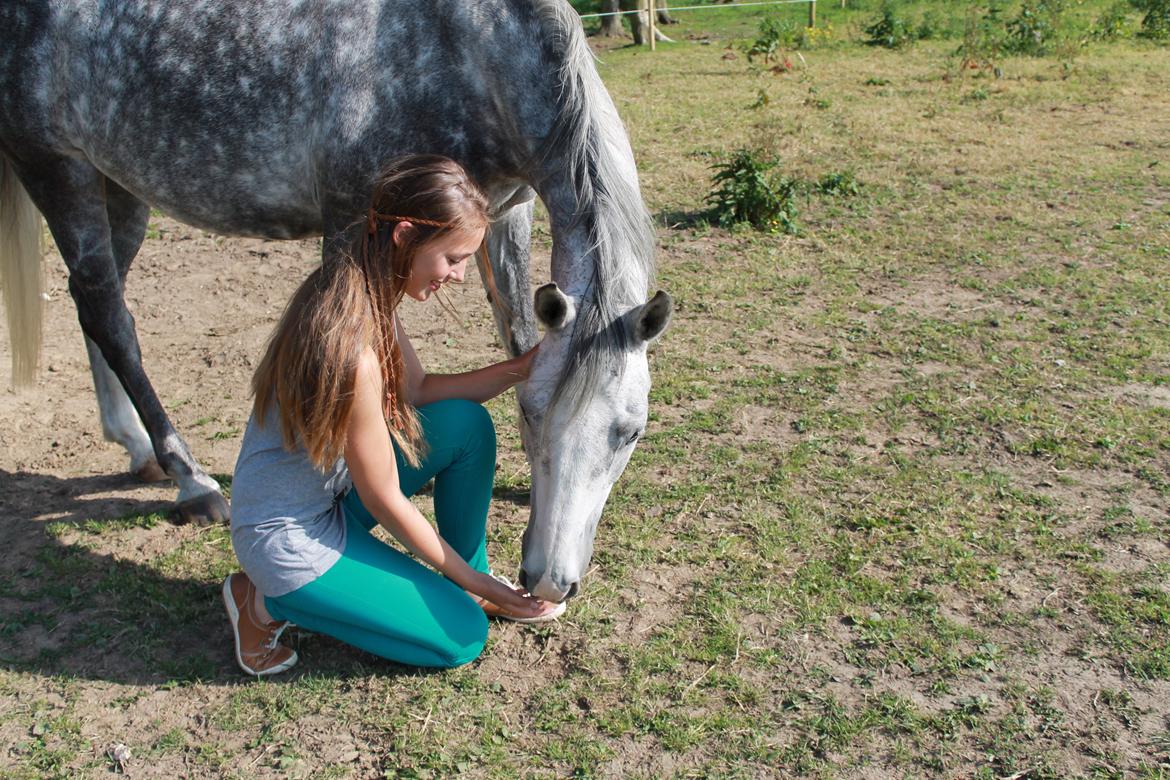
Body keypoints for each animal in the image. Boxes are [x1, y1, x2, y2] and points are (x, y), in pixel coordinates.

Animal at [0, 0, 673, 603]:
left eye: (630, 432)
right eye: (533, 418)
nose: (549, 579)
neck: (473, 51)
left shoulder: (507, 215)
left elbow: (519, 337)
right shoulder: (351, 221)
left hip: (116, 185)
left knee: (93, 304)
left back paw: (137, 449)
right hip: (58, 171)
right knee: (110, 316)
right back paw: (190, 481)